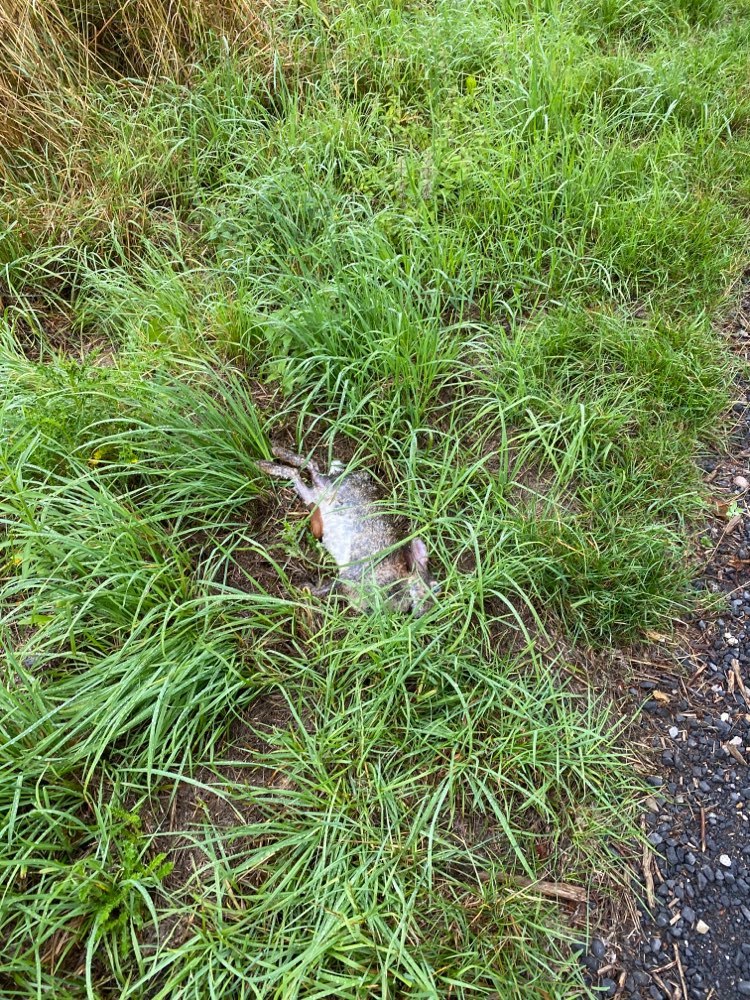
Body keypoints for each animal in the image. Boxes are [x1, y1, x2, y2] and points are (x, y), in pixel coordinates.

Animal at [257, 446, 438, 615]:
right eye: (435, 588)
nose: (426, 611)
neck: (399, 580)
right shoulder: (351, 576)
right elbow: (326, 589)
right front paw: (305, 587)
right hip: (328, 487)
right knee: (310, 468)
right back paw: (269, 460)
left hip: (313, 499)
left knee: (300, 474)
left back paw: (272, 458)